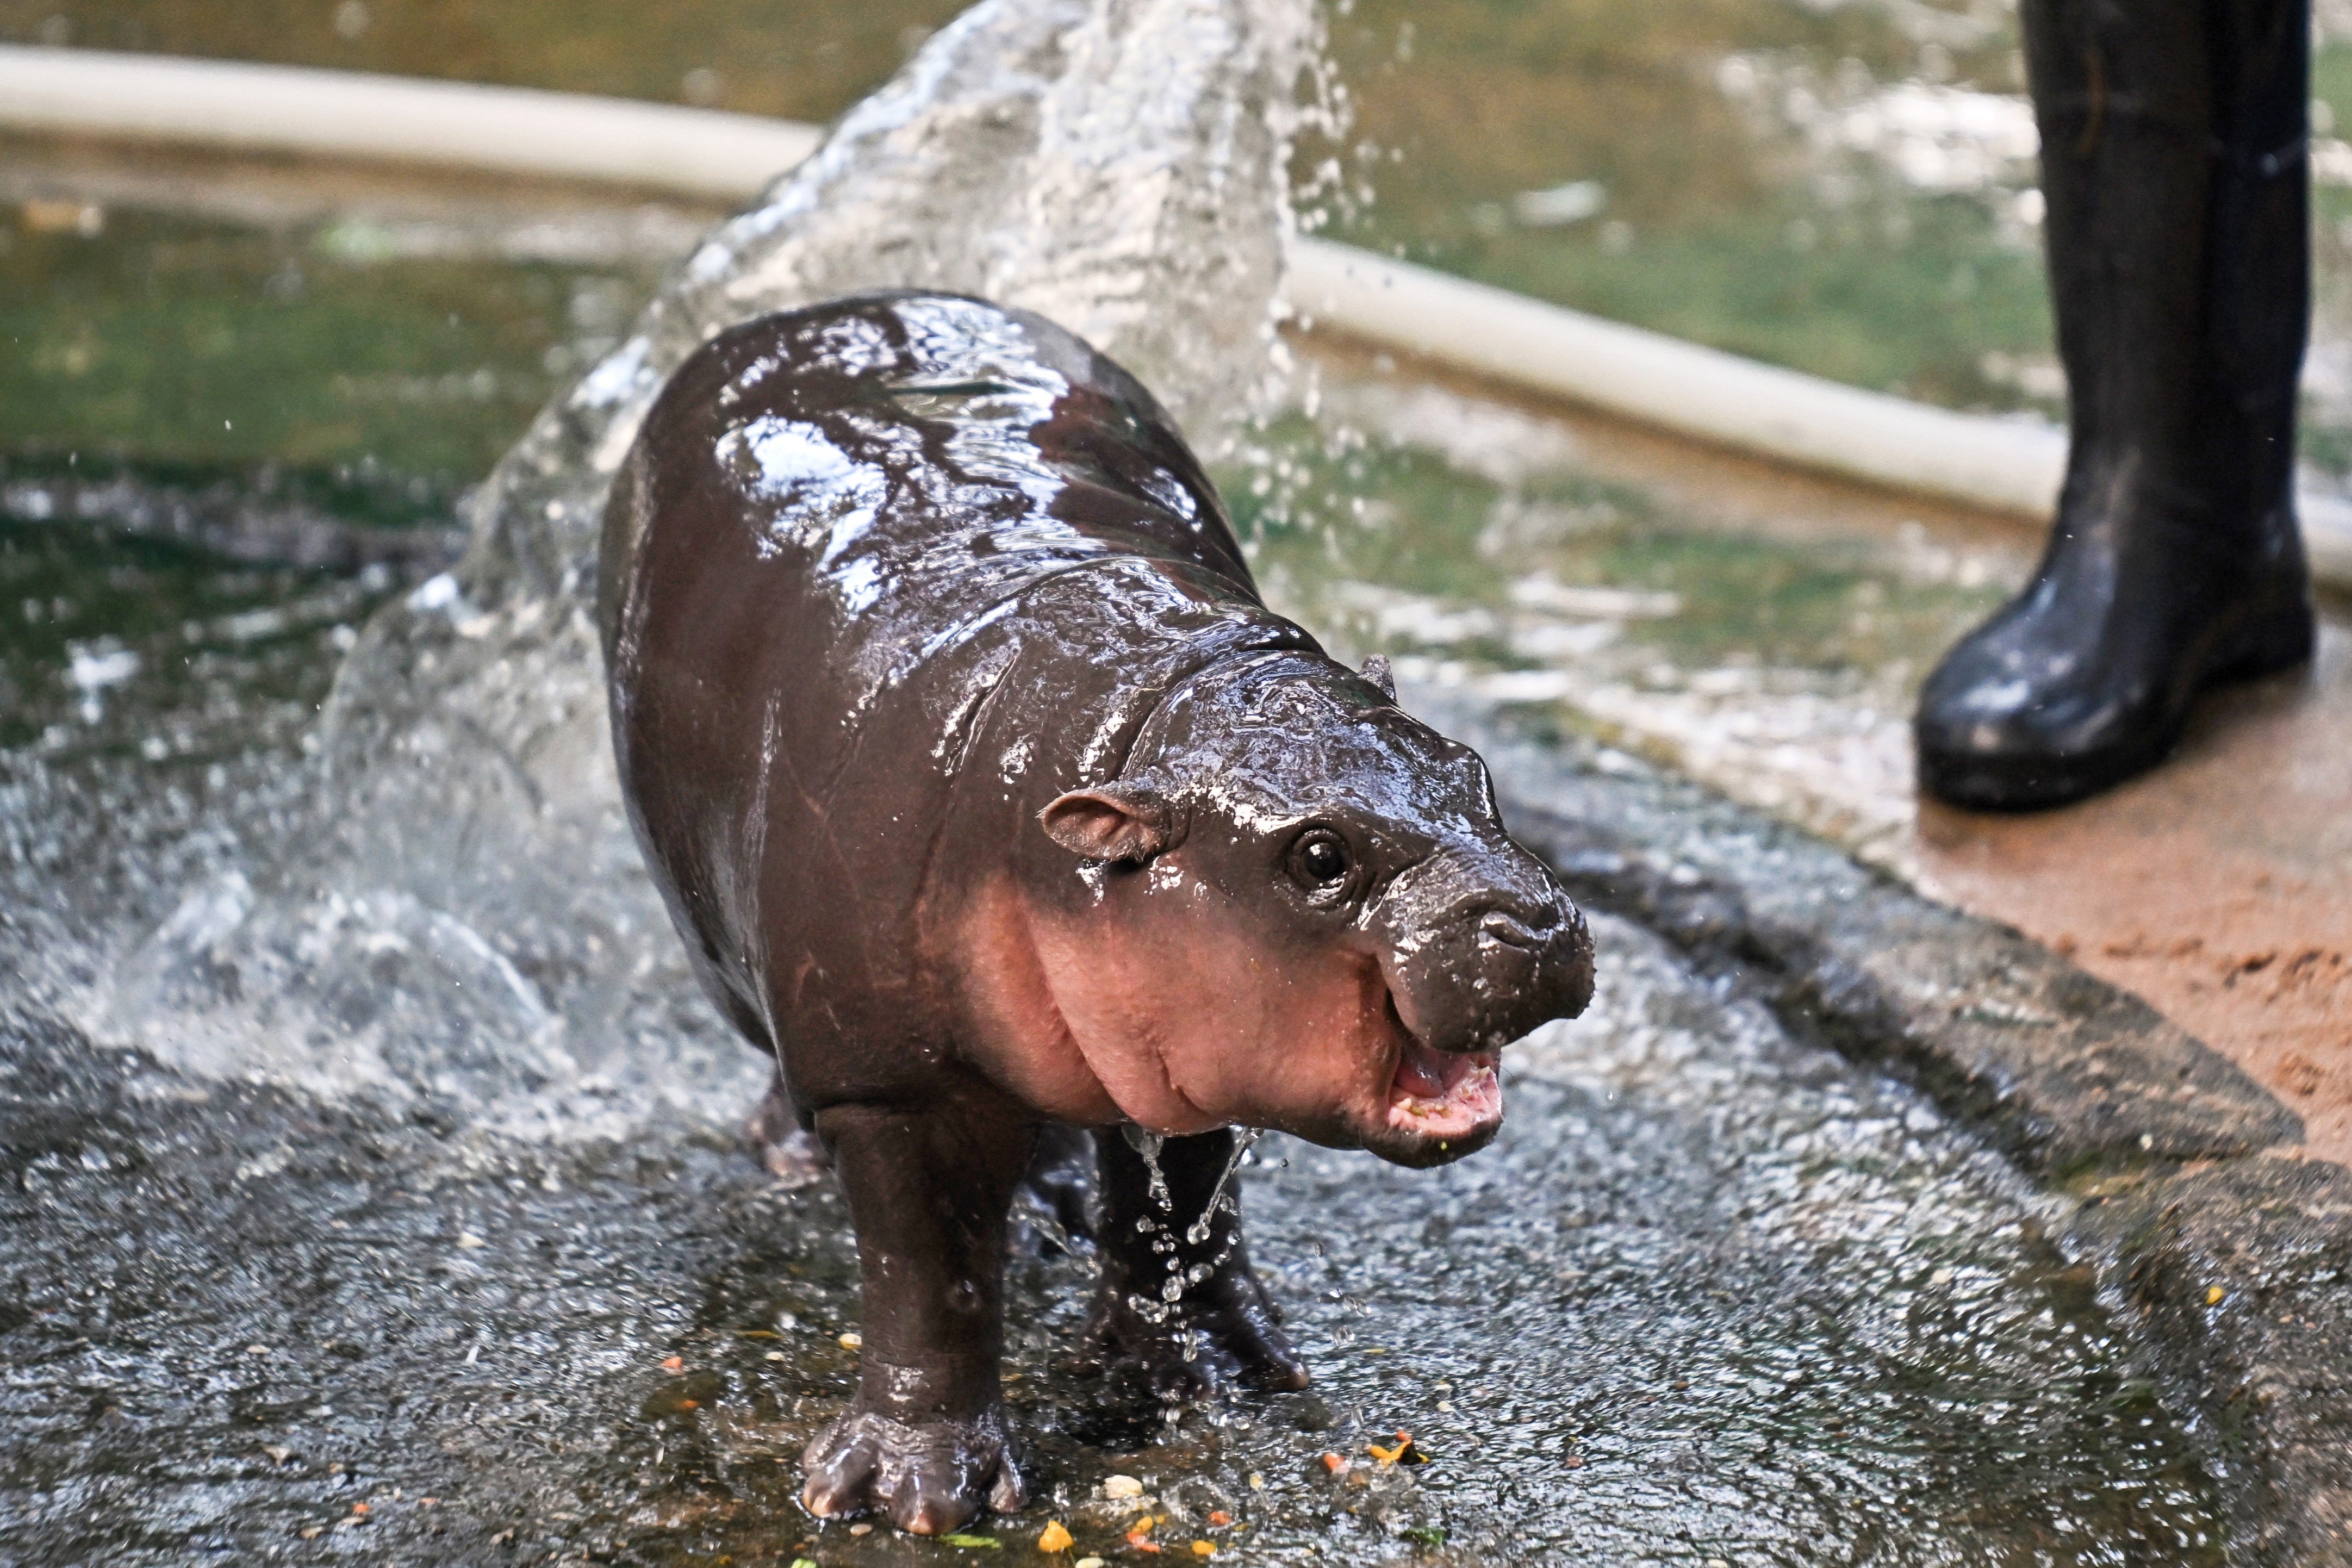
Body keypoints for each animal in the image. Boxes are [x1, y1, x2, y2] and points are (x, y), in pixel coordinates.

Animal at [607, 291, 1599, 1533]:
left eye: (1473, 770)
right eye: (1319, 855)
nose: (1535, 920)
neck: (1138, 714)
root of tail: (822, 309)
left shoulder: (1192, 1038)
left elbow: (1184, 1213)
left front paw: (1223, 1371)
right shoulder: (891, 1082)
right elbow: (929, 1275)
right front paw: (908, 1494)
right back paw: (802, 1158)